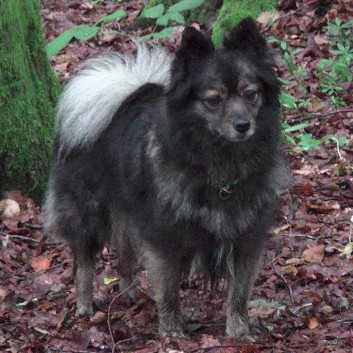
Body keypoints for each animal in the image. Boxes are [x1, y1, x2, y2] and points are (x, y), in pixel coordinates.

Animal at [43, 17, 286, 336]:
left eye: (251, 94)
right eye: (213, 100)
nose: (243, 125)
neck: (220, 165)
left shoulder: (247, 236)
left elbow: (240, 291)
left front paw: (238, 329)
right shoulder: (165, 236)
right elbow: (169, 287)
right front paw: (171, 330)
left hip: (128, 211)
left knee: (125, 252)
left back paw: (129, 291)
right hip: (89, 213)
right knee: (84, 261)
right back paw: (85, 305)